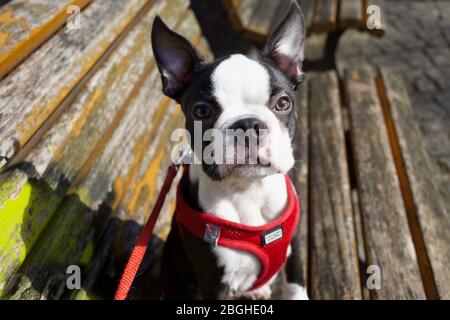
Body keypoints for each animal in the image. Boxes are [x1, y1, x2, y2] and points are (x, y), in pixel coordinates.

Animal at [153, 1, 308, 300]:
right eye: (201, 111)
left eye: (283, 103)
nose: (247, 125)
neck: (249, 191)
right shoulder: (213, 283)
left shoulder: (295, 255)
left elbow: (297, 290)